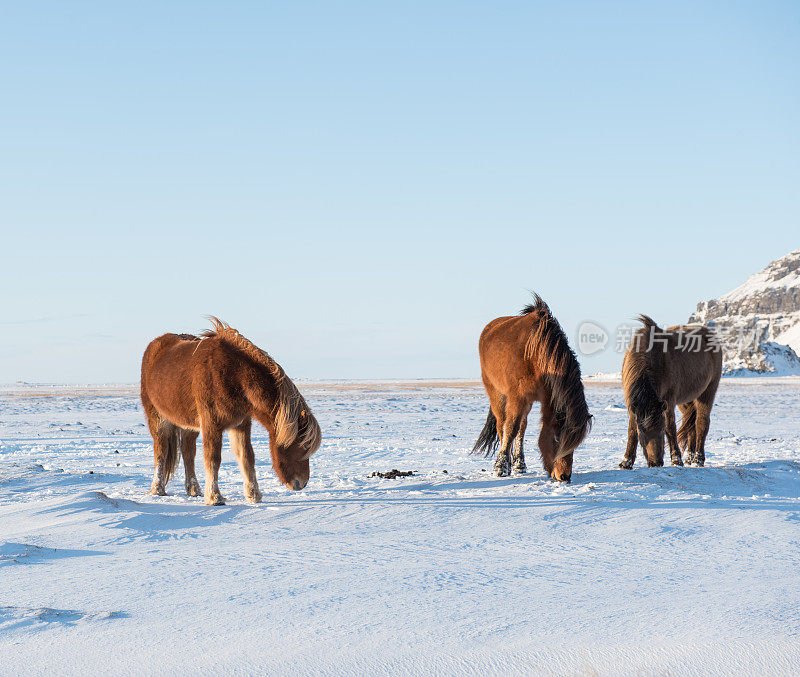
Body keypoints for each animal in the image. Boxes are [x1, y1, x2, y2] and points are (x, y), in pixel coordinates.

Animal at [142, 320, 320, 504]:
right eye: (304, 444)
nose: (302, 483)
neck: (234, 375)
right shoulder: (211, 423)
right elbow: (213, 458)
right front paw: (215, 497)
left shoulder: (241, 424)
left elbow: (247, 457)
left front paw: (253, 495)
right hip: (157, 418)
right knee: (161, 451)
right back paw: (157, 489)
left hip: (188, 423)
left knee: (188, 452)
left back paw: (194, 490)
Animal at [472, 296, 592, 480]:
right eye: (557, 438)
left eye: (576, 444)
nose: (564, 476)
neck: (535, 355)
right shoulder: (517, 397)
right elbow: (510, 429)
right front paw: (501, 467)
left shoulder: (538, 398)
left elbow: (520, 429)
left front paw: (516, 464)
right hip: (496, 393)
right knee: (502, 425)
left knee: (522, 427)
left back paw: (519, 464)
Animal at [620, 314, 724, 468]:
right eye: (642, 432)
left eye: (661, 430)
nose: (656, 463)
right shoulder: (632, 404)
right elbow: (631, 429)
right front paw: (626, 462)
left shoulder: (669, 401)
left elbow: (671, 427)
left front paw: (676, 460)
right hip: (686, 401)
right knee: (691, 426)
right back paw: (690, 458)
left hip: (707, 392)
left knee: (701, 423)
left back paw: (698, 460)